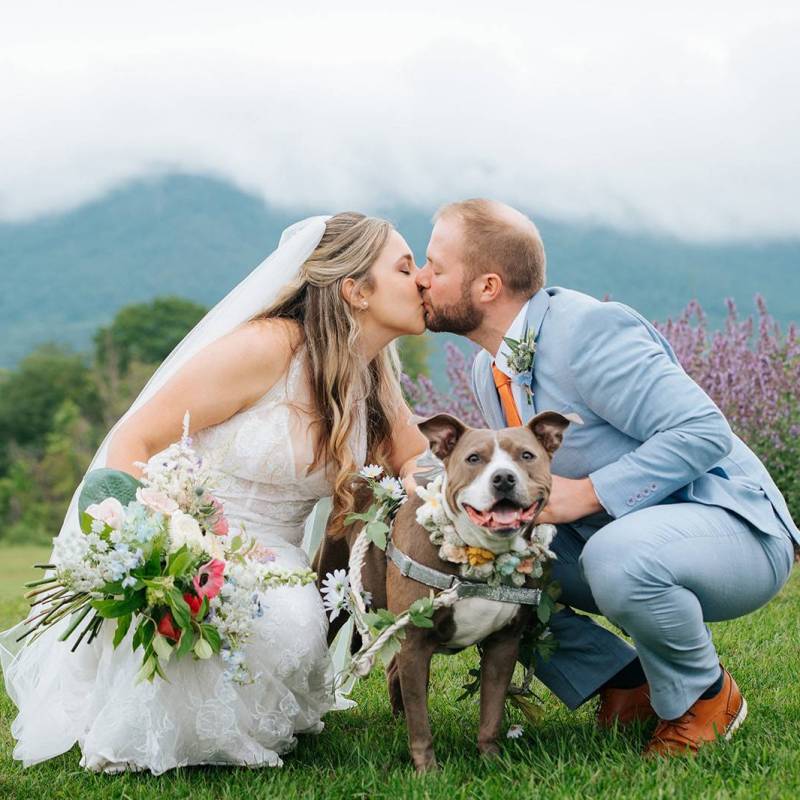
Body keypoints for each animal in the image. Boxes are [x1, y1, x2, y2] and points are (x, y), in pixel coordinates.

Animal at [312, 410, 576, 772]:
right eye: (473, 458)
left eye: (526, 455)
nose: (504, 478)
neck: (483, 554)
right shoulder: (415, 644)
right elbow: (421, 722)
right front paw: (428, 772)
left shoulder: (503, 645)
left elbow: (491, 712)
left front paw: (492, 762)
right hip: (330, 591)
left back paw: (397, 719)